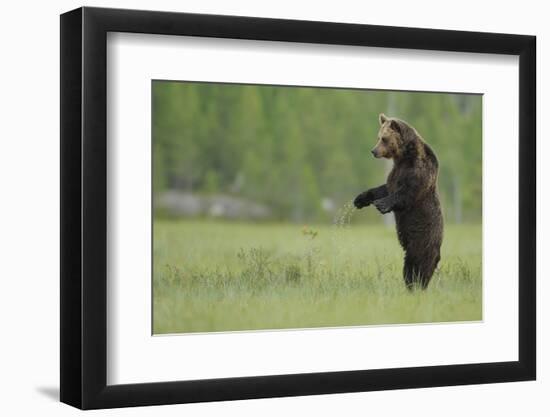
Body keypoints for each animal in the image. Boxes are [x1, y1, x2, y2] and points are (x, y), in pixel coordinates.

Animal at [356, 114, 446, 290]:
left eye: (384, 139)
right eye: (378, 137)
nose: (373, 151)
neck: (404, 156)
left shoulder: (419, 171)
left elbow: (407, 193)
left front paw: (381, 204)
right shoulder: (395, 173)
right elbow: (385, 188)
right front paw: (360, 199)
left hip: (422, 240)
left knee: (417, 266)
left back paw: (416, 286)